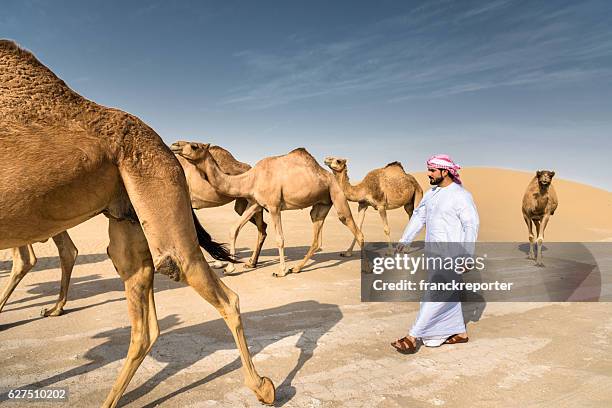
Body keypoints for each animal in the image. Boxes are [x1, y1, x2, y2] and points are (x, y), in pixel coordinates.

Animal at [0, 39, 274, 406]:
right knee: (145, 318)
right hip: (128, 217)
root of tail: (162, 146)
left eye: (195, 144)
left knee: (202, 280)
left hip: (159, 189)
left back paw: (263, 386)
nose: (181, 144)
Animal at [170, 141, 366, 278]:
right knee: (316, 235)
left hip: (337, 194)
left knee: (355, 229)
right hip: (322, 204)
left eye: (194, 145)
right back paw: (296, 268)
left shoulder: (273, 206)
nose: (175, 145)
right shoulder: (256, 203)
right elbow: (234, 229)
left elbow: (279, 239)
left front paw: (280, 271)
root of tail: (330, 176)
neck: (250, 178)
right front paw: (230, 267)